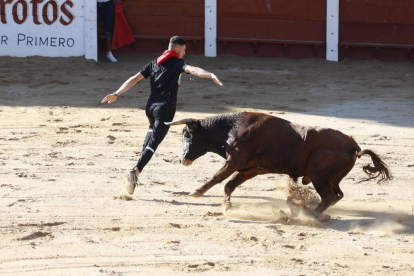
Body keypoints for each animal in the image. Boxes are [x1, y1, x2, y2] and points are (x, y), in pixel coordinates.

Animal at [165, 112, 392, 216]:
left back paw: (309, 214)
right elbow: (229, 185)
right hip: (331, 179)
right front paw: (227, 205)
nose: (183, 158)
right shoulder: (249, 170)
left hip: (319, 177)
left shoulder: (234, 162)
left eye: (187, 134)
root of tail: (352, 143)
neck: (231, 128)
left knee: (328, 196)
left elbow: (217, 178)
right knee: (337, 195)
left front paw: (196, 192)